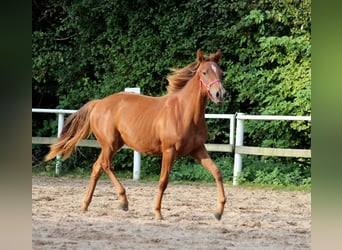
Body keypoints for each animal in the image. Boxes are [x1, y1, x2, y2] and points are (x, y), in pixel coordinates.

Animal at [44, 48, 227, 221]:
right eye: (204, 72)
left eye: (221, 72)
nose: (220, 94)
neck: (184, 113)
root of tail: (98, 103)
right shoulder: (169, 151)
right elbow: (163, 181)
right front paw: (157, 212)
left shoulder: (197, 149)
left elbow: (217, 172)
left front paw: (218, 212)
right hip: (110, 144)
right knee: (105, 165)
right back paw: (123, 201)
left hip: (114, 145)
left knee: (97, 167)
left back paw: (85, 205)